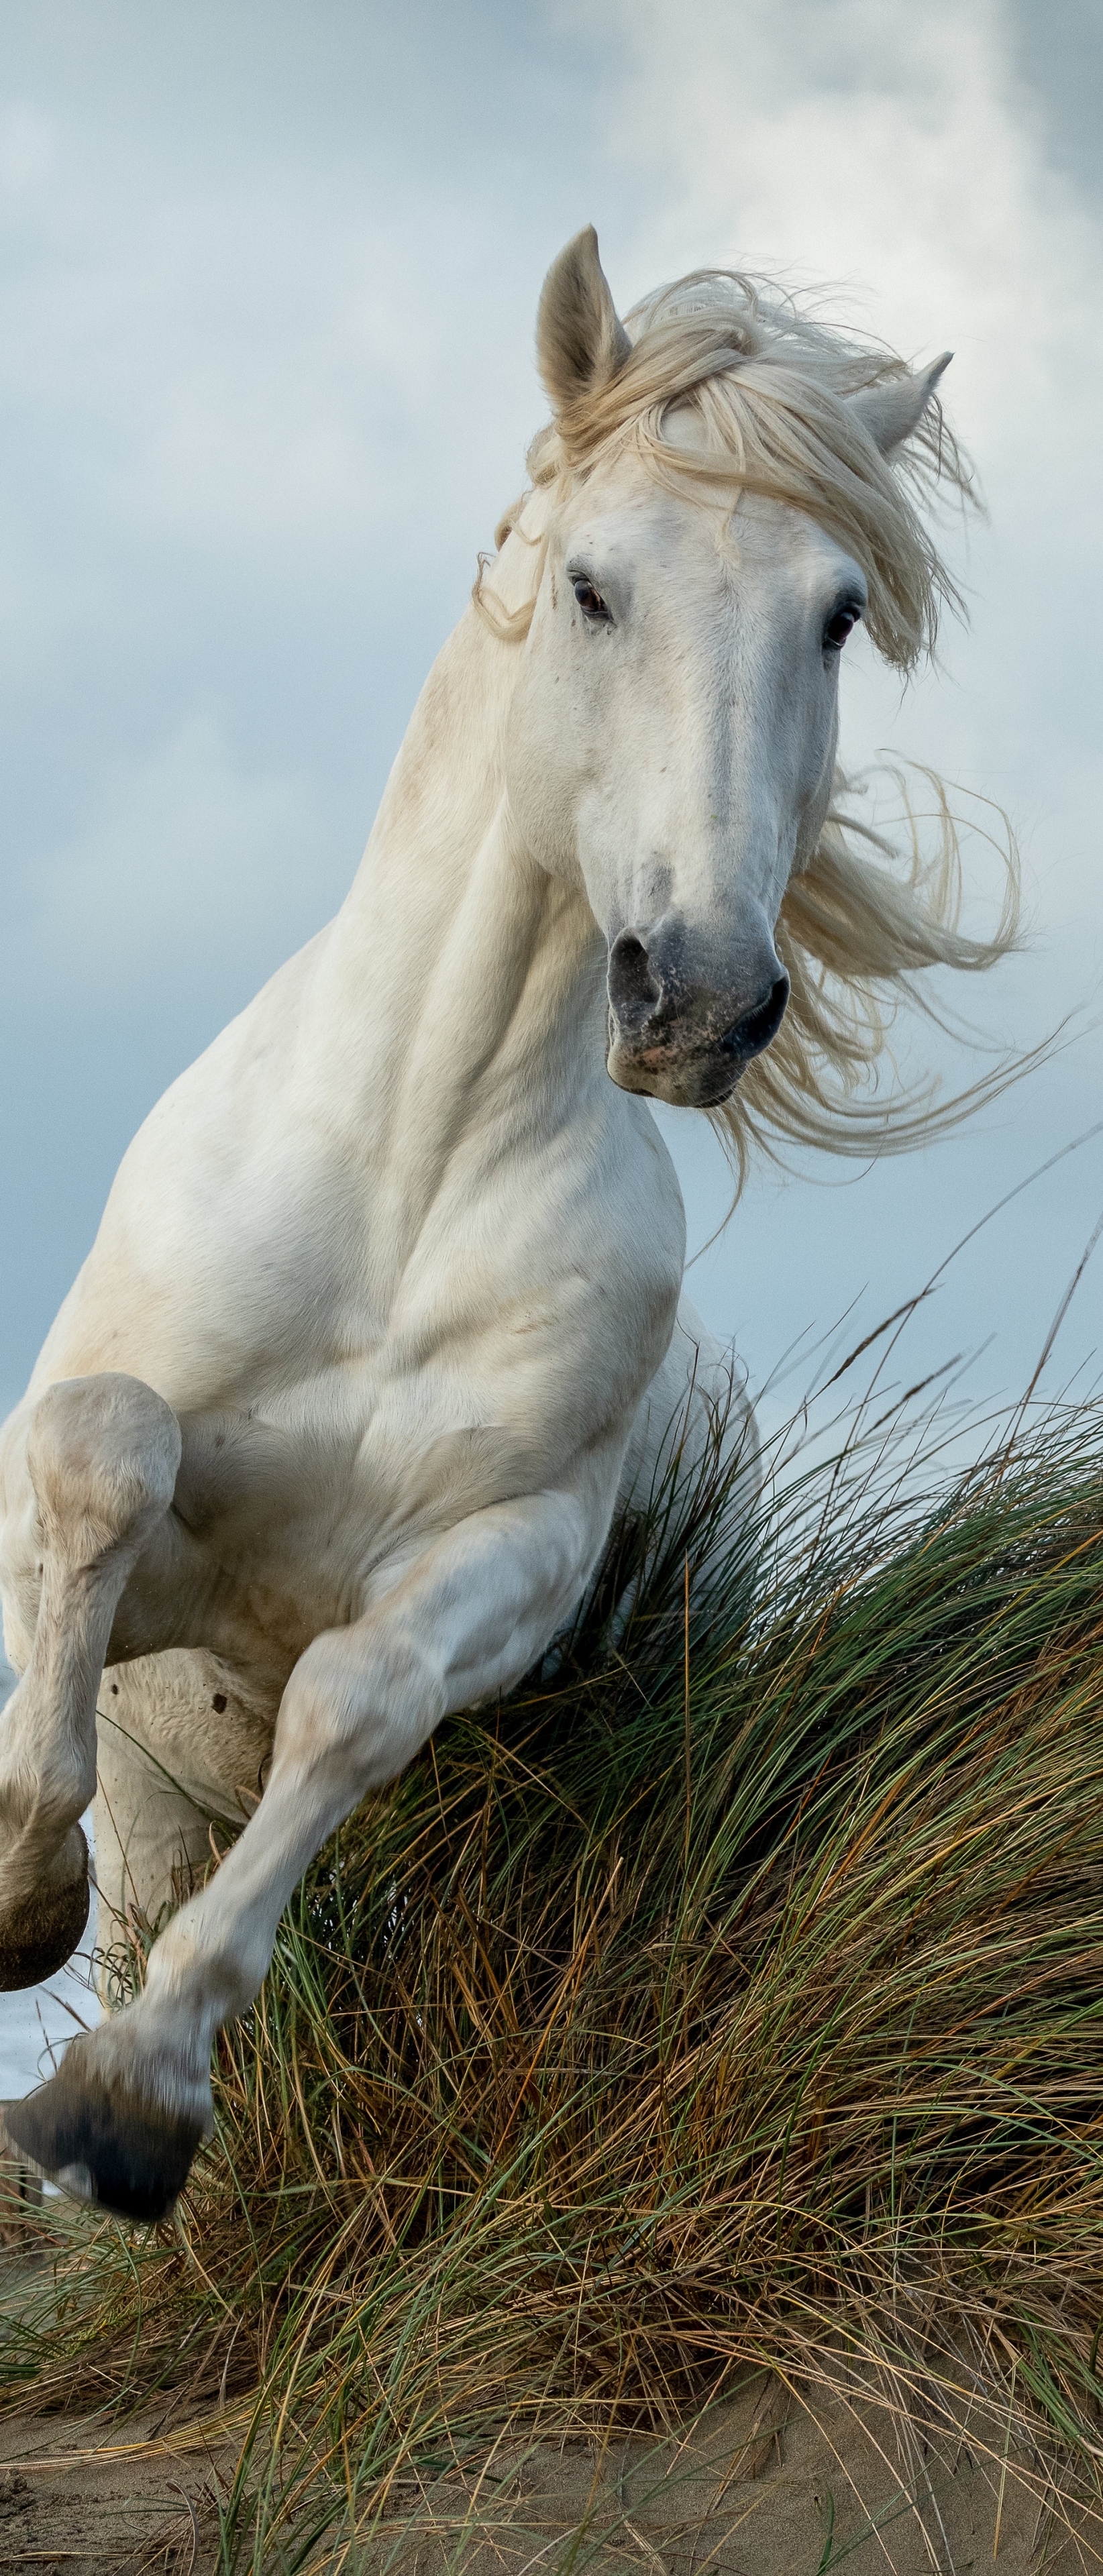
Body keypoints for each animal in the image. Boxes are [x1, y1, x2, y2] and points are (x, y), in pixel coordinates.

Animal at [0, 231, 1010, 2225]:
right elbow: (101, 1451)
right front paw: (11, 1880)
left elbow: (350, 1696)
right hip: (166, 1786)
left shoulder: (508, 1559)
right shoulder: (130, 1535)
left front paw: (131, 2102)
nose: (695, 995)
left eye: (834, 614)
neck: (409, 1170)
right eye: (594, 588)